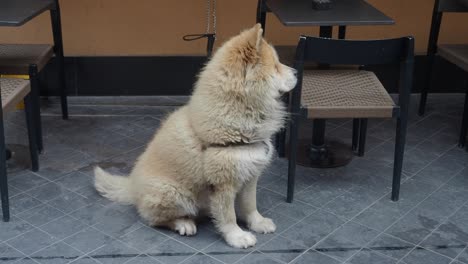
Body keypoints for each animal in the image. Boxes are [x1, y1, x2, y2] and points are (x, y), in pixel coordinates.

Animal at [94, 23, 296, 249]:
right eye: (277, 66)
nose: (297, 72)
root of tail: (133, 187)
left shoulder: (250, 174)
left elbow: (250, 205)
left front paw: (258, 223)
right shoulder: (223, 183)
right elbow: (228, 216)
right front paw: (237, 237)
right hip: (173, 192)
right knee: (155, 219)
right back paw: (184, 223)